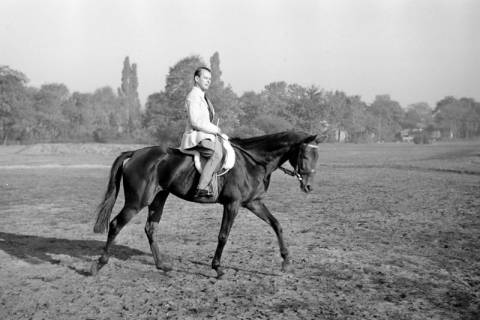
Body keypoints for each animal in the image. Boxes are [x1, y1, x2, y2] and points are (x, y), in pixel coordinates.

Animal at [90, 130, 322, 278]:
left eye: (317, 155)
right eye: (305, 155)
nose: (309, 186)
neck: (253, 162)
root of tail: (136, 153)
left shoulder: (253, 203)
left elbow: (276, 225)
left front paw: (286, 262)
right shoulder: (233, 204)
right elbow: (223, 236)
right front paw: (217, 268)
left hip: (158, 197)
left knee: (150, 228)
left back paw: (162, 265)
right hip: (137, 201)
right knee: (116, 225)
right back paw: (99, 265)